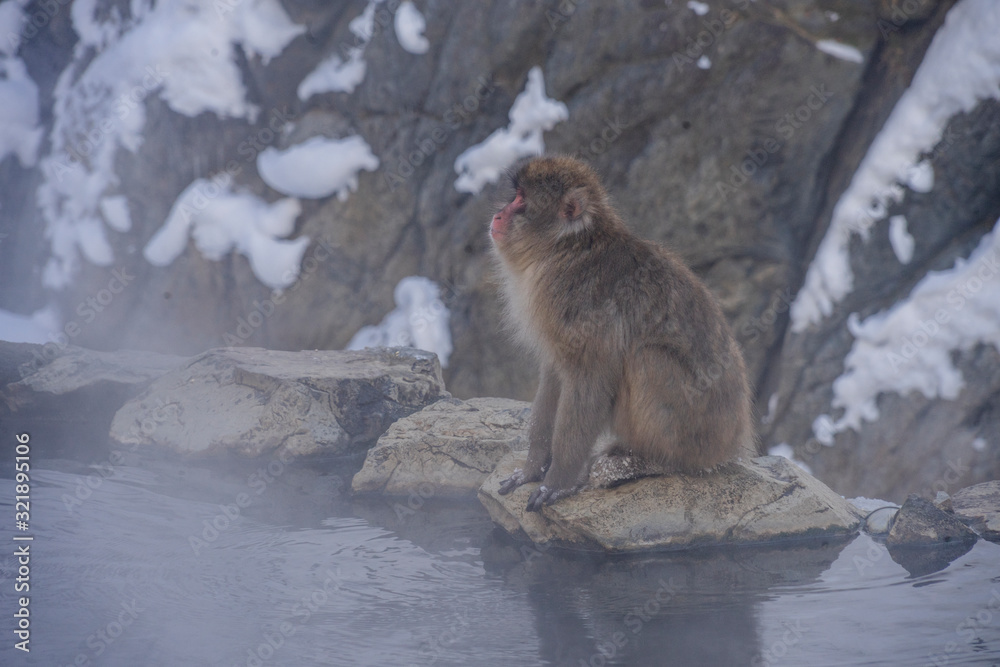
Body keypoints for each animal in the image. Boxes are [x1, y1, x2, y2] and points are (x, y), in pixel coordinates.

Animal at [490, 156, 755, 512]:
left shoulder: (582, 309)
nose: (498, 214)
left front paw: (557, 484)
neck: (566, 249)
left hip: (694, 434)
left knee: (647, 358)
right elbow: (553, 376)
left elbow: (590, 381)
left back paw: (652, 461)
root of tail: (732, 442)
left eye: (521, 200)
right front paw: (532, 470)